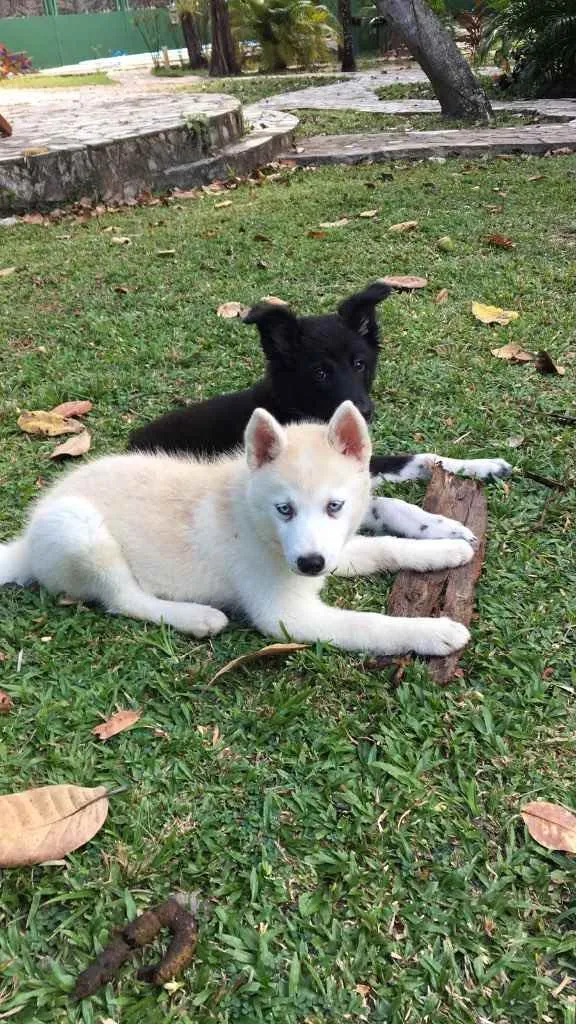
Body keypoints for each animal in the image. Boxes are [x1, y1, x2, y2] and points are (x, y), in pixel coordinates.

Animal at [0, 401, 473, 655]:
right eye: (284, 509)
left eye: (334, 506)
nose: (309, 564)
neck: (257, 521)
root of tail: (26, 542)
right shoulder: (287, 617)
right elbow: (370, 625)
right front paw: (432, 632)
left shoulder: (331, 550)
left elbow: (383, 546)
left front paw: (446, 548)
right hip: (80, 530)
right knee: (124, 599)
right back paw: (196, 617)